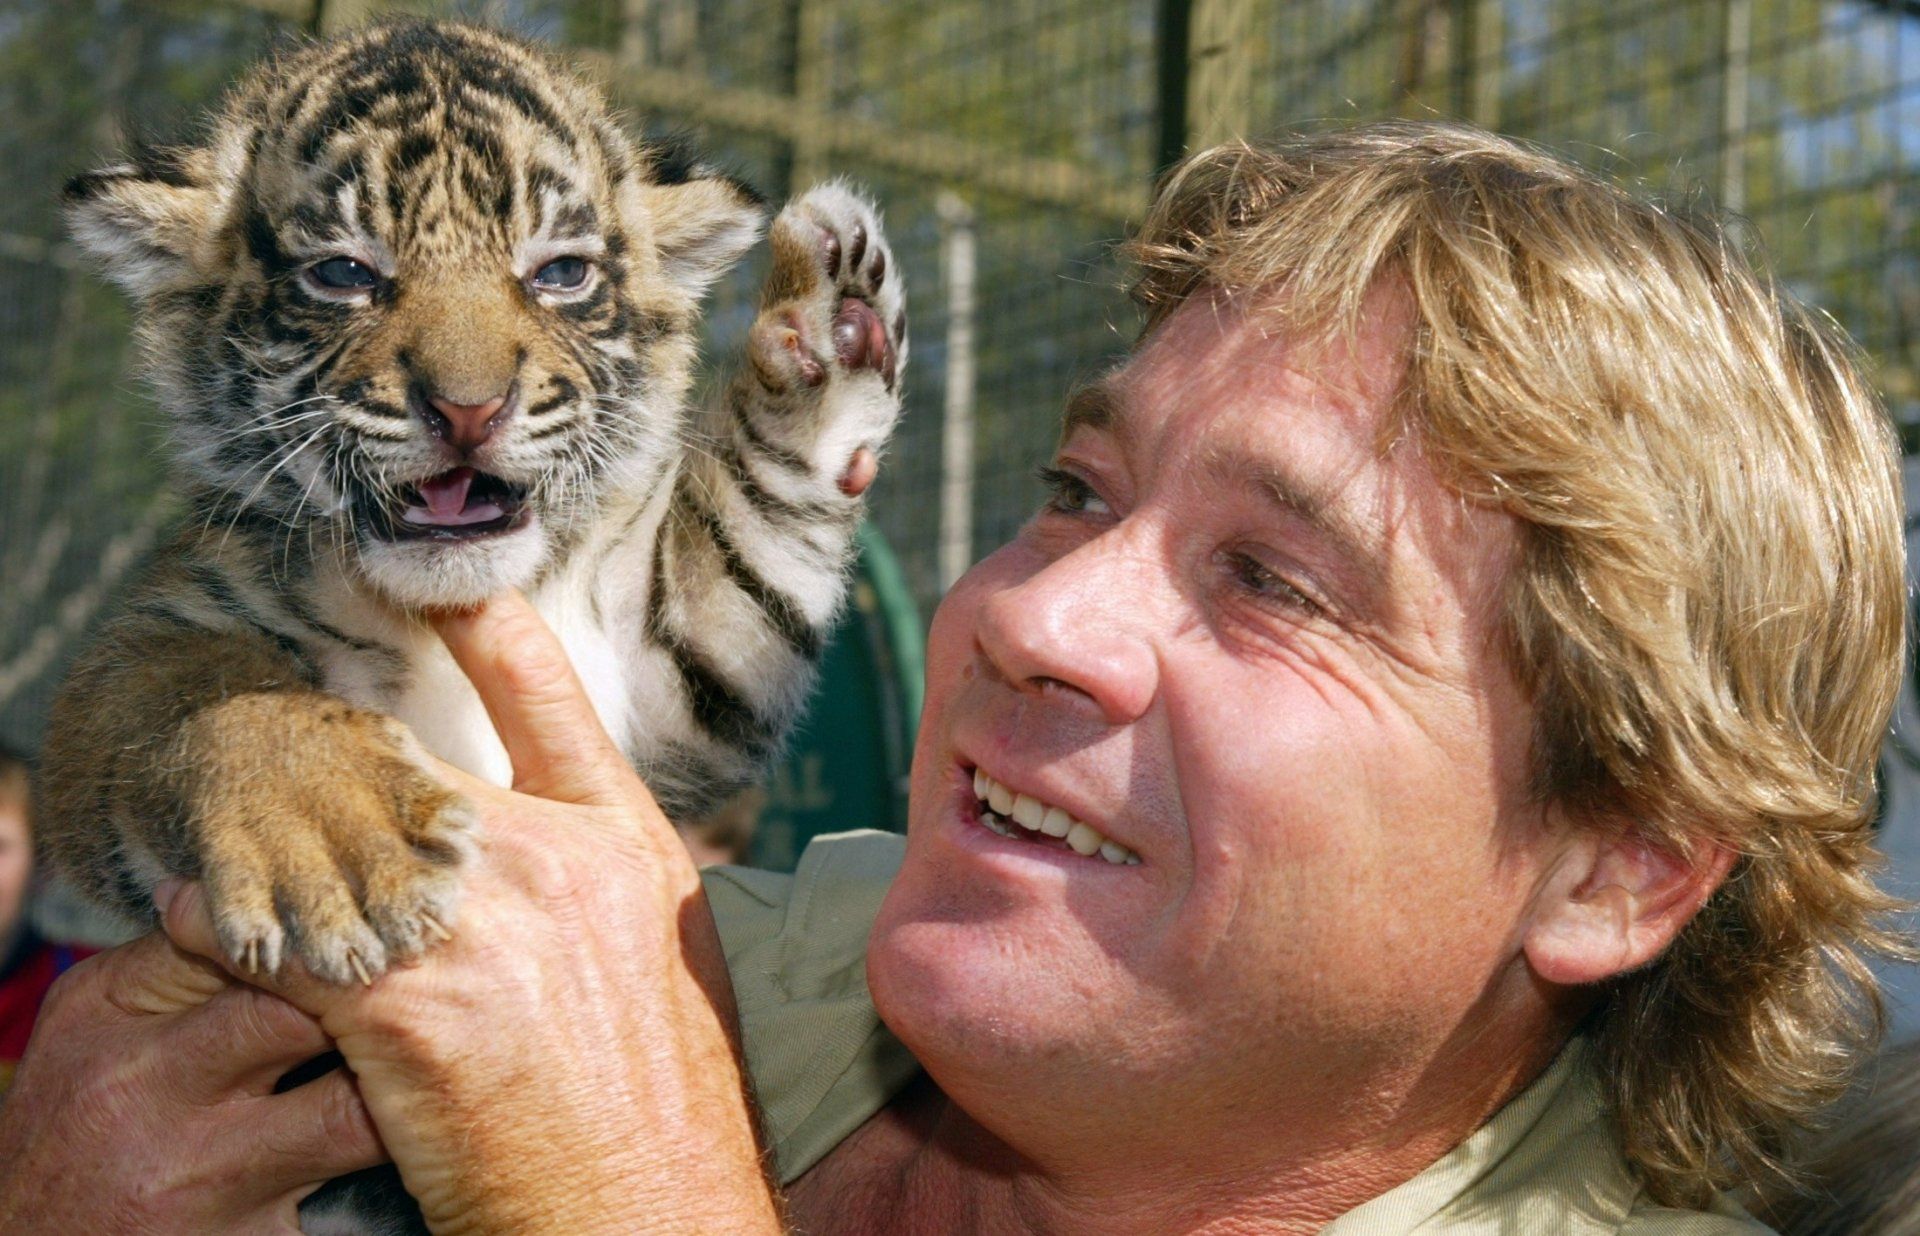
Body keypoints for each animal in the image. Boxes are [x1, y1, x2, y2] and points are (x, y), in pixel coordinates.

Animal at [39, 19, 905, 1231]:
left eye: (560, 274)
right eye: (346, 273)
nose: (467, 408)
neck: (443, 608)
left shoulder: (672, 669)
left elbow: (753, 529)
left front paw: (832, 324)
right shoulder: (154, 634)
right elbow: (195, 693)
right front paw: (332, 839)